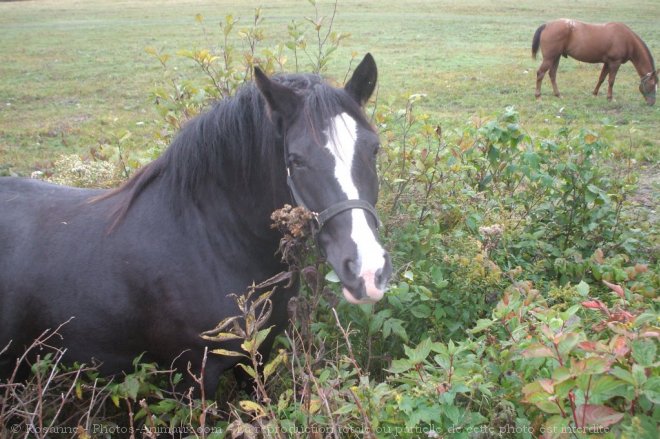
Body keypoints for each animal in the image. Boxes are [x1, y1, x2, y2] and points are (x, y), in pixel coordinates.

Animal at [0, 54, 392, 396]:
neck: (211, 242)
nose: (367, 271)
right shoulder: (194, 375)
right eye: (296, 160)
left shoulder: (257, 356)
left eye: (374, 149)